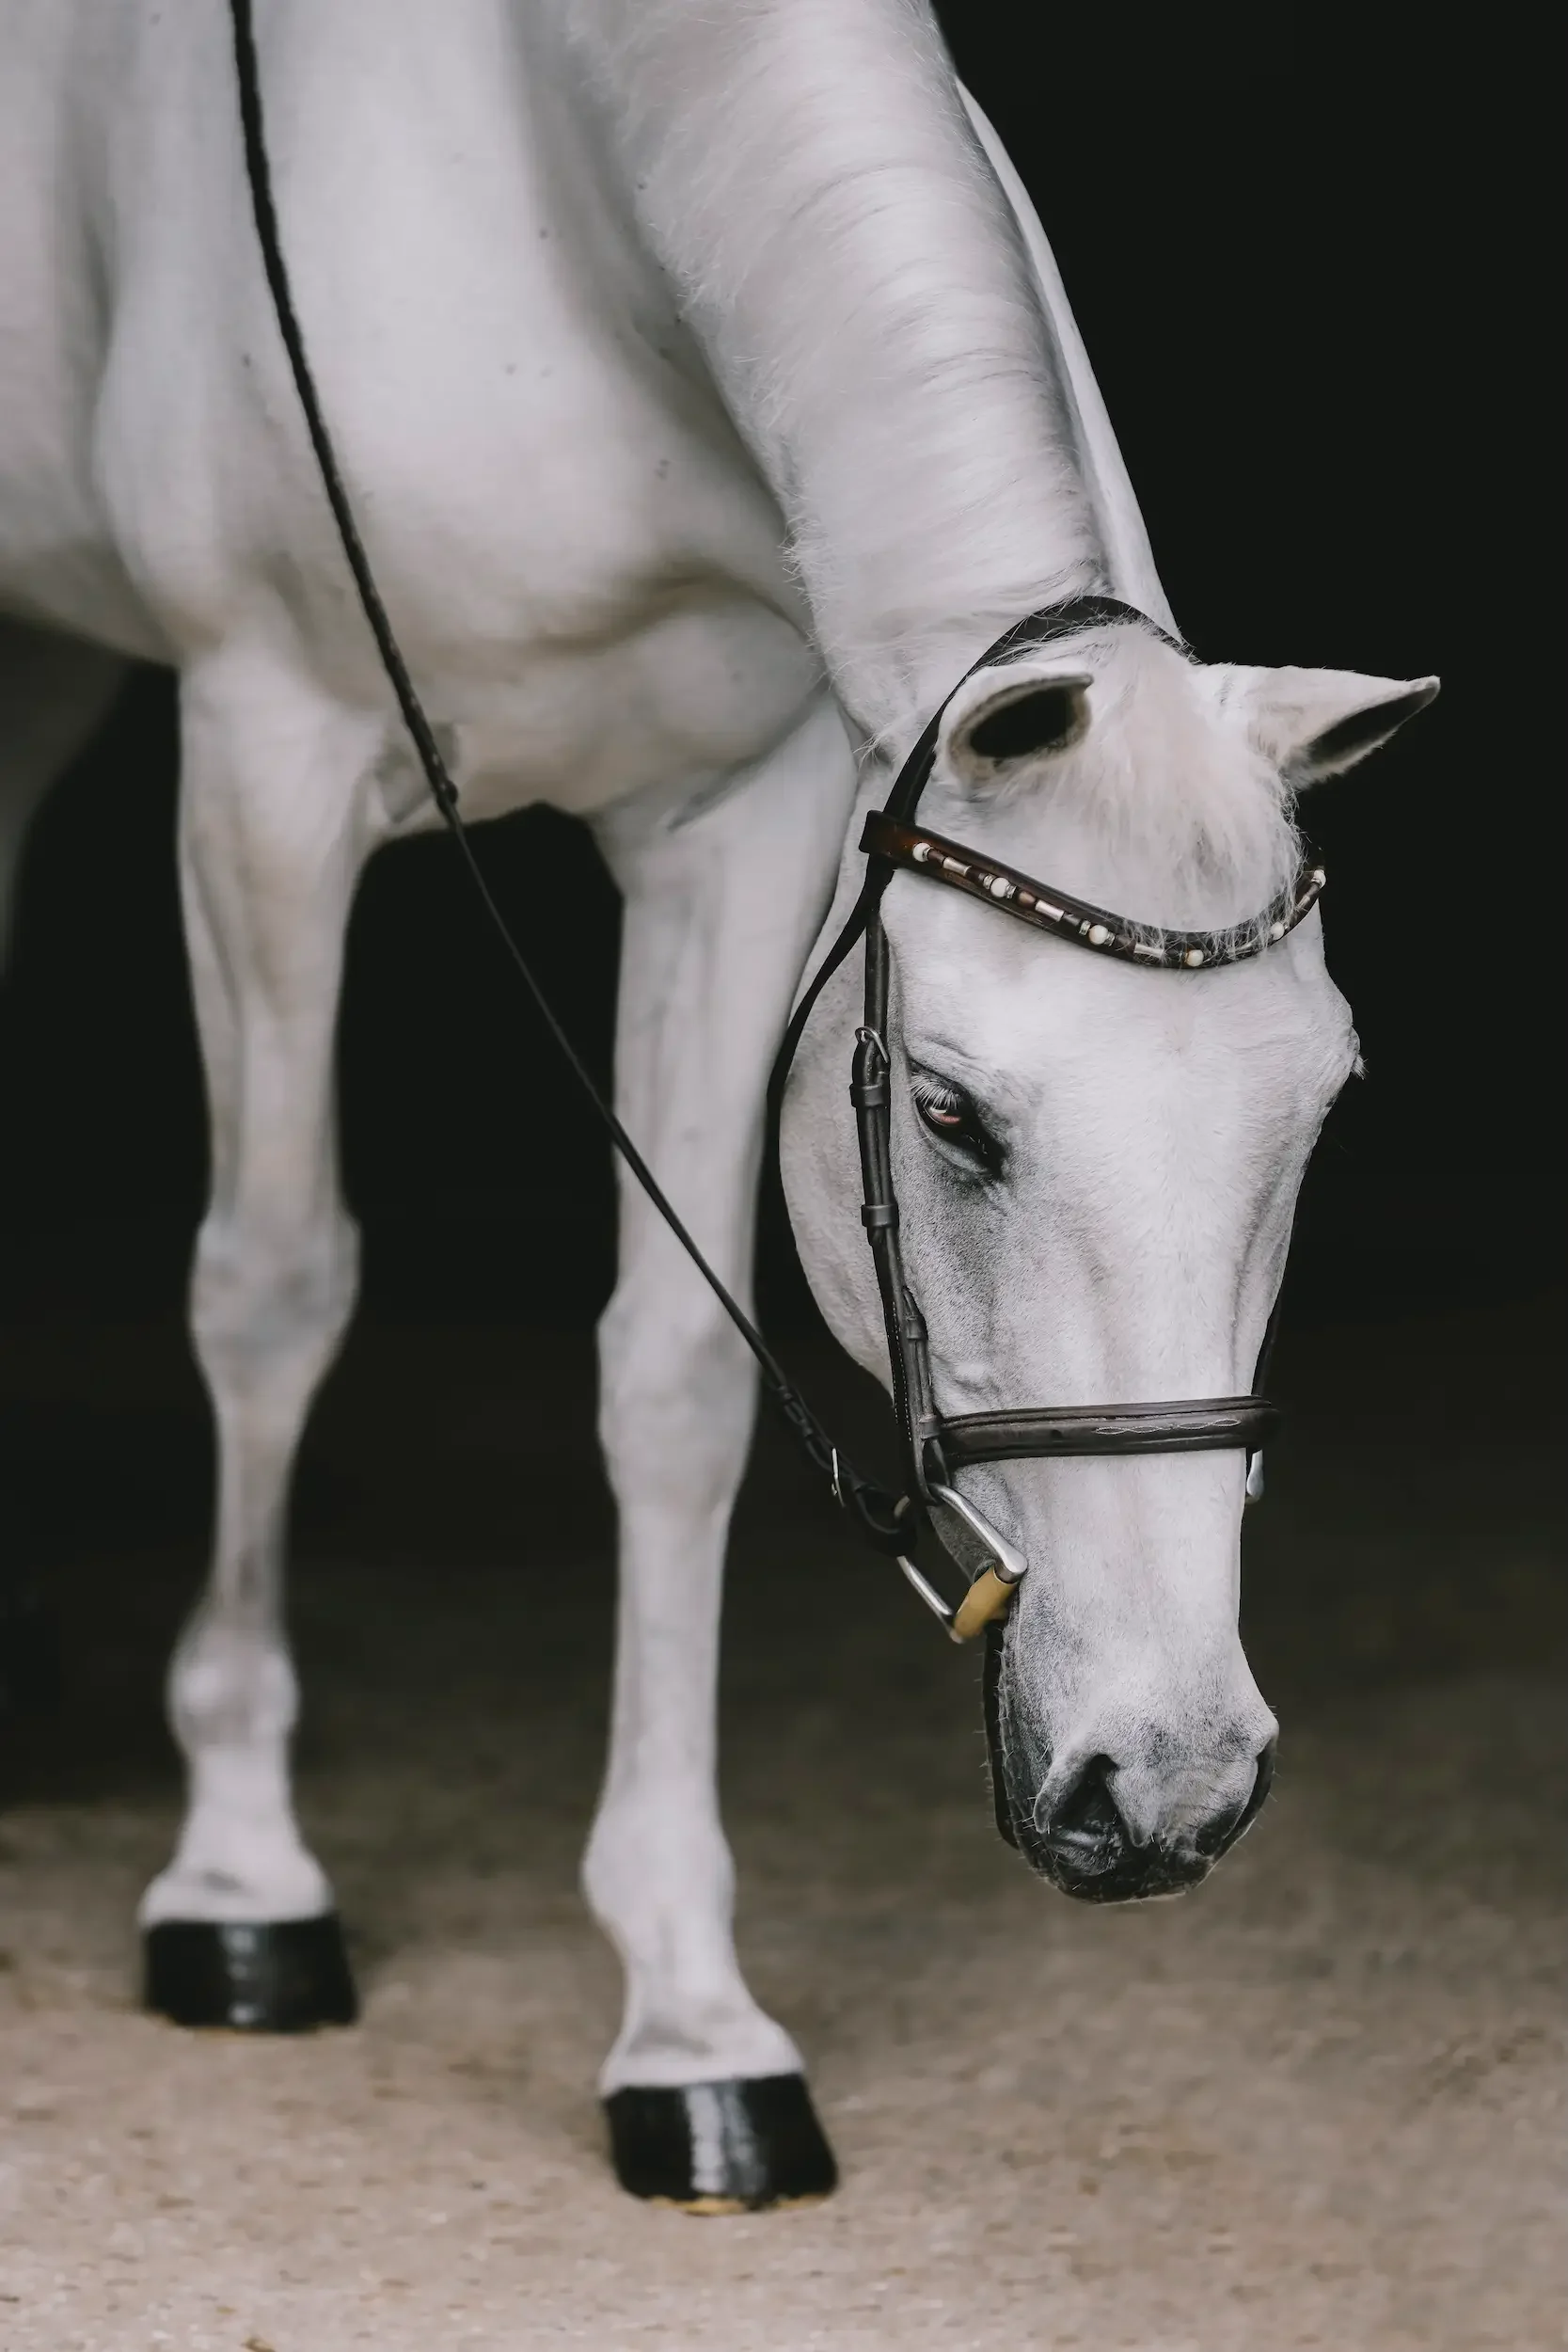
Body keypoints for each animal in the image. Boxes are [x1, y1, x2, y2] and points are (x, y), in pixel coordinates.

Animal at [0, 0, 1434, 2210]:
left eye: (1319, 1115)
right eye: (947, 1116)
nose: (1171, 1779)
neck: (542, 178)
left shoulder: (732, 821)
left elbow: (673, 1390)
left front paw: (687, 2020)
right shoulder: (266, 759)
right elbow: (271, 1293)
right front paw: (240, 1881)